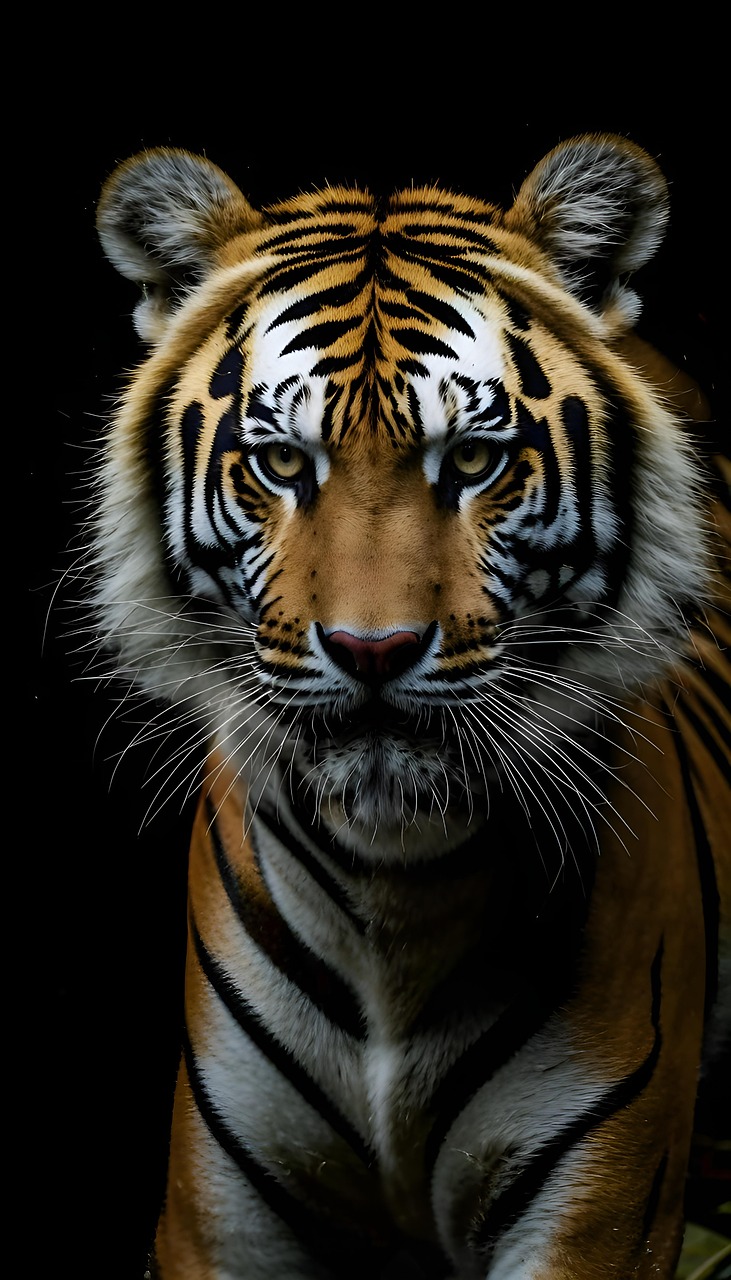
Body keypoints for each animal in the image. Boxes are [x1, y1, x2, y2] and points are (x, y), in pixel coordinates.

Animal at [89, 134, 730, 1279]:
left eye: (472, 459)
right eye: (279, 461)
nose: (371, 650)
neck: (392, 893)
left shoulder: (594, 1217)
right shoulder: (218, 1218)